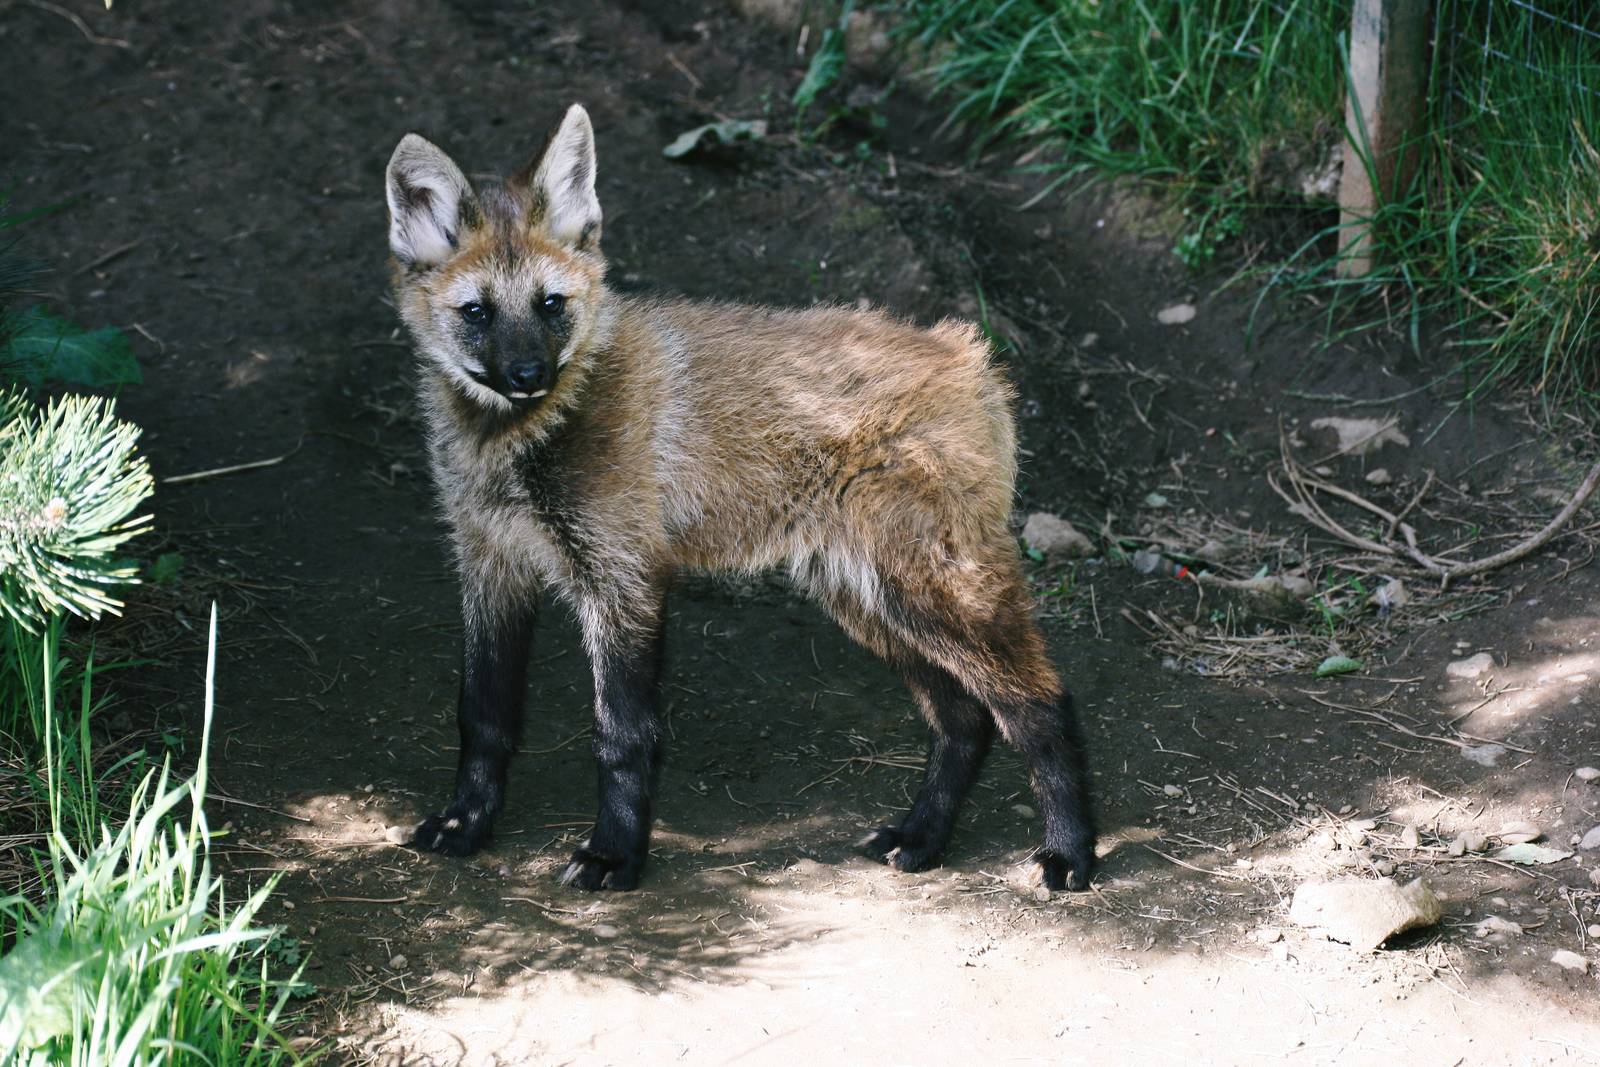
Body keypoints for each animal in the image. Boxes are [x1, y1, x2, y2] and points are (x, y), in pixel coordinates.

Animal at [383, 104, 1097, 891]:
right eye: (477, 312)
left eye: (550, 304)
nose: (527, 374)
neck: (525, 442)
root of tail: (969, 354)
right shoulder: (491, 564)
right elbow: (483, 716)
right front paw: (467, 824)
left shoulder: (622, 580)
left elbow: (623, 736)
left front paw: (615, 854)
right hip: (870, 599)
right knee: (963, 720)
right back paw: (923, 837)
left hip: (928, 593)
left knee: (1040, 704)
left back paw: (1070, 853)